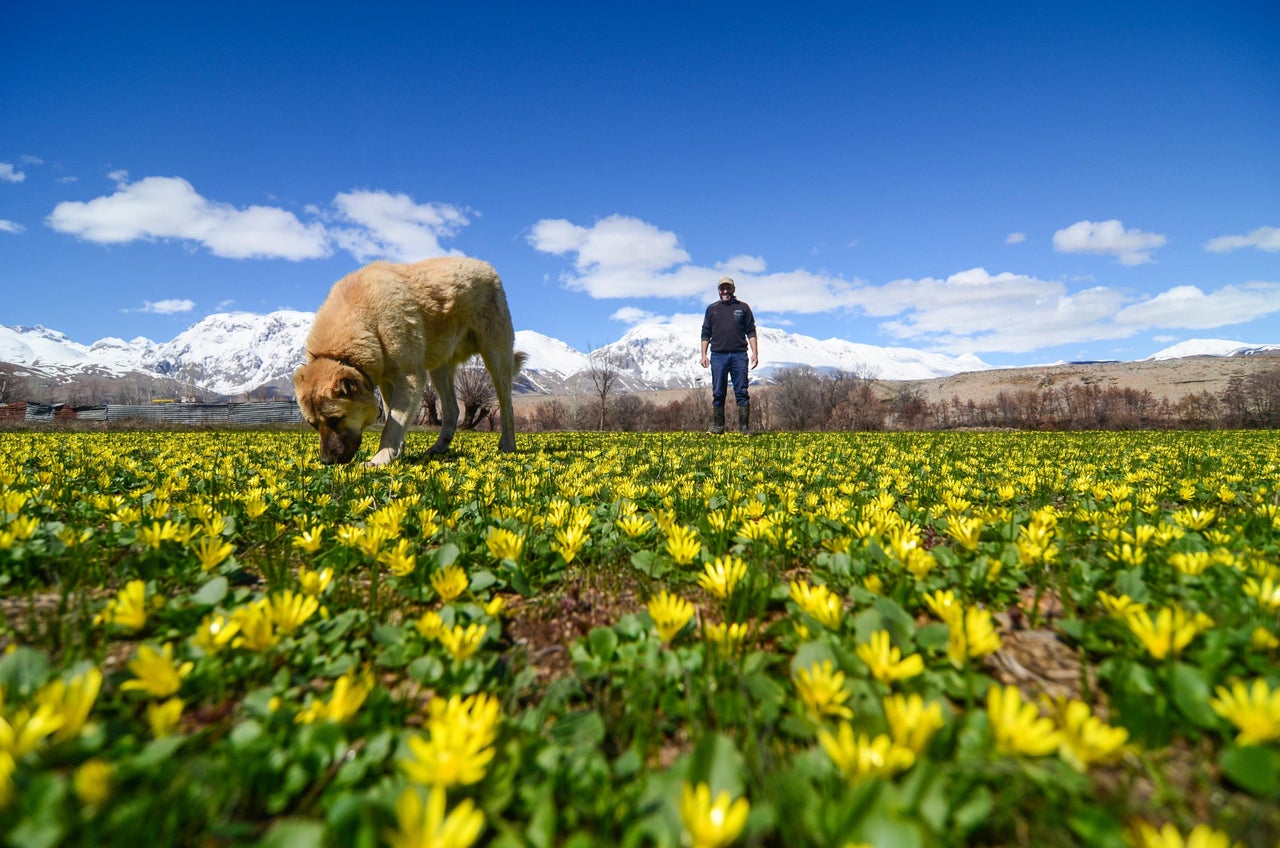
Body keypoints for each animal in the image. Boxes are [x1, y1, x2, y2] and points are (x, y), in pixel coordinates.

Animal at [293, 256, 524, 468]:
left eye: (335, 419)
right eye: (313, 425)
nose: (326, 462)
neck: (366, 322)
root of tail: (486, 265)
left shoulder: (409, 378)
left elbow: (391, 425)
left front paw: (379, 459)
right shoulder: (387, 381)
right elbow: (392, 417)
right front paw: (396, 453)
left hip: (496, 359)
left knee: (507, 406)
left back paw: (508, 446)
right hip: (439, 369)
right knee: (452, 410)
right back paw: (438, 448)